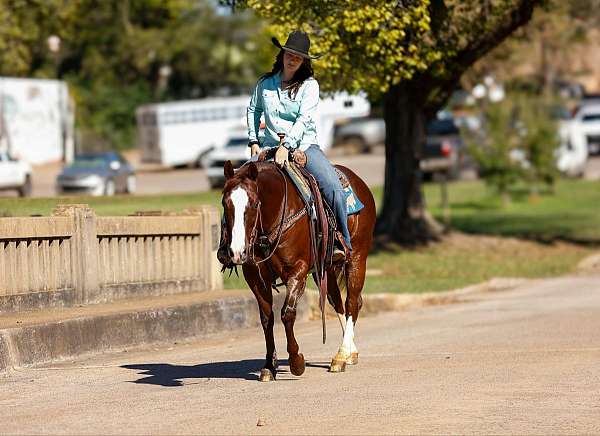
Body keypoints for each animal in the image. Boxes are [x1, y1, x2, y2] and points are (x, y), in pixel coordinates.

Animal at [218, 161, 372, 382]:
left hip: (357, 258)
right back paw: (350, 352)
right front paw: (269, 366)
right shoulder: (255, 276)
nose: (236, 252)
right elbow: (267, 318)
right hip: (325, 270)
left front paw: (296, 361)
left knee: (352, 303)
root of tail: (359, 182)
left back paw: (341, 356)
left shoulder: (297, 270)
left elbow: (287, 314)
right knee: (337, 302)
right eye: (225, 204)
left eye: (254, 204)